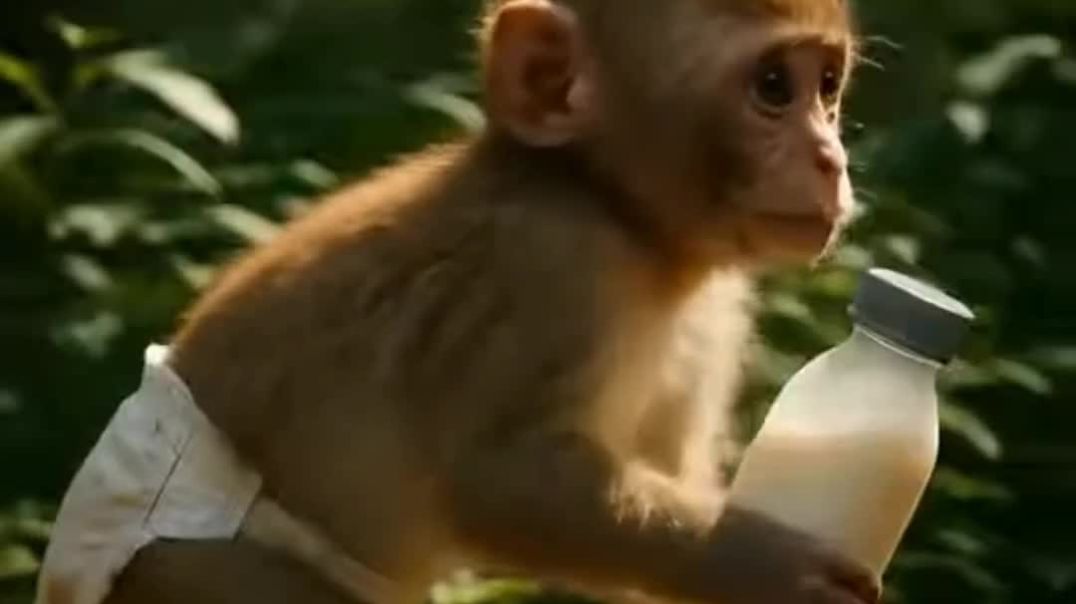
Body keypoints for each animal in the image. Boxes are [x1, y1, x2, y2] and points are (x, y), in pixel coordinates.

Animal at [37, 0, 878, 603]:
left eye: (827, 87)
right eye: (773, 88)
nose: (830, 158)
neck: (624, 219)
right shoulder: (552, 261)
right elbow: (501, 481)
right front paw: (764, 565)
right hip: (192, 571)